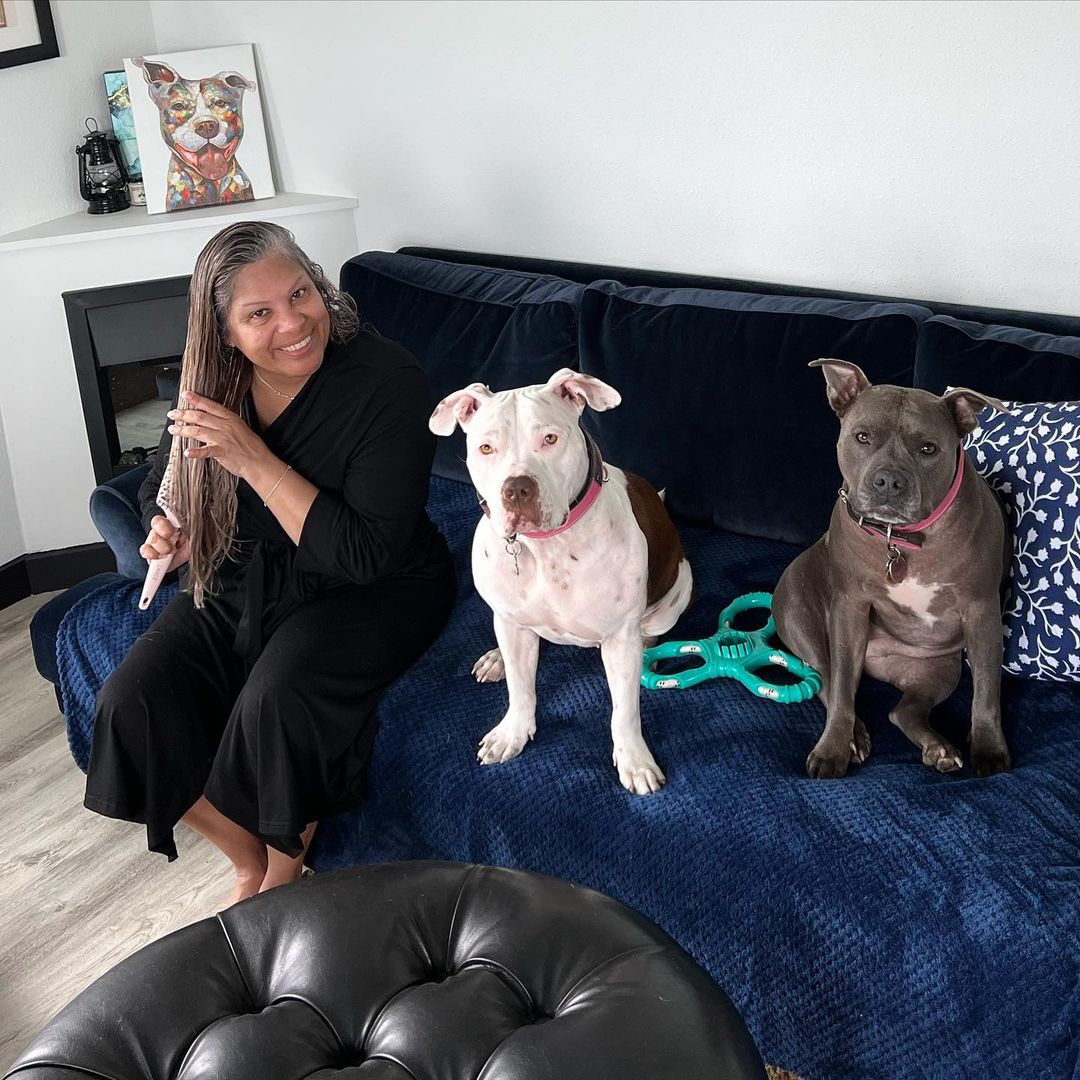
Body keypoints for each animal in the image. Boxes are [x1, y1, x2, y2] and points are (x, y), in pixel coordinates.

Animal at [425, 369, 695, 794]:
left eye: (550, 439)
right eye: (486, 448)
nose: (516, 488)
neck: (544, 547)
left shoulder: (619, 640)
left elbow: (624, 711)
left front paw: (634, 760)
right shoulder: (512, 623)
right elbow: (521, 689)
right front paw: (512, 731)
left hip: (678, 590)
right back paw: (497, 658)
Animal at [773, 360, 1006, 777]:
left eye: (928, 448)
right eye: (862, 437)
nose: (888, 480)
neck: (901, 538)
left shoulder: (983, 612)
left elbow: (987, 689)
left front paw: (989, 748)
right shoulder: (850, 608)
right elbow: (841, 693)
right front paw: (832, 749)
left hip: (938, 670)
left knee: (902, 712)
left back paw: (938, 747)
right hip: (805, 623)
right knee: (831, 682)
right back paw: (854, 736)